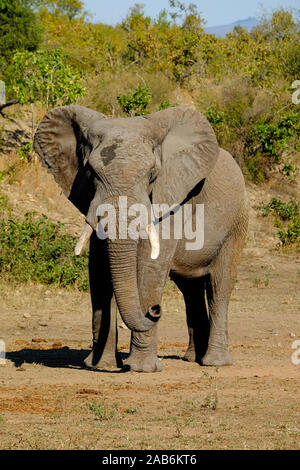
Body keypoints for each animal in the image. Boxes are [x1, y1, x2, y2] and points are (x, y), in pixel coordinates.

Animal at [33, 104, 248, 372]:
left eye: (152, 174)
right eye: (90, 172)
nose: (154, 310)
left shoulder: (171, 198)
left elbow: (149, 266)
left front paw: (141, 369)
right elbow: (98, 270)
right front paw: (101, 366)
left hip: (236, 223)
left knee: (220, 285)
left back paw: (214, 363)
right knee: (191, 289)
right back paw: (192, 359)